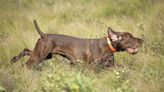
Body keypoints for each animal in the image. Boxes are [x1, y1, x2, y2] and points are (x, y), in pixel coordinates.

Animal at [10, 19, 143, 68]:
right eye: (130, 37)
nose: (142, 40)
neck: (108, 46)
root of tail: (44, 35)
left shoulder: (111, 65)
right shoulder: (91, 67)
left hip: (46, 55)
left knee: (26, 50)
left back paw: (14, 59)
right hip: (39, 56)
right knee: (27, 64)